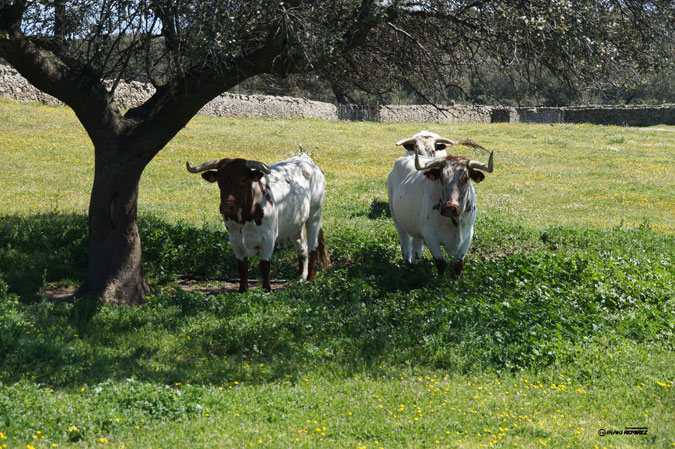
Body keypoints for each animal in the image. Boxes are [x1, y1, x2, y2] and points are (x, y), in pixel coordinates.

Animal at [187, 154, 330, 292]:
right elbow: (242, 266)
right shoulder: (234, 239)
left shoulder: (269, 237)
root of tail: (306, 159)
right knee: (302, 248)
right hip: (295, 223)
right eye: (220, 181)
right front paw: (243, 289)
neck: (244, 218)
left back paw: (309, 279)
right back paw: (301, 276)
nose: (227, 207)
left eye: (243, 180)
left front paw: (267, 289)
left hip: (315, 215)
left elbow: (264, 265)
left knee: (313, 248)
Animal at [388, 139, 494, 276]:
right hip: (397, 221)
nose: (449, 208)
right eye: (441, 177)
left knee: (417, 247)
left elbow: (458, 264)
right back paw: (407, 265)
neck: (455, 223)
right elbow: (441, 263)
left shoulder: (468, 236)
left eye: (466, 178)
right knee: (405, 245)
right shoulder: (431, 236)